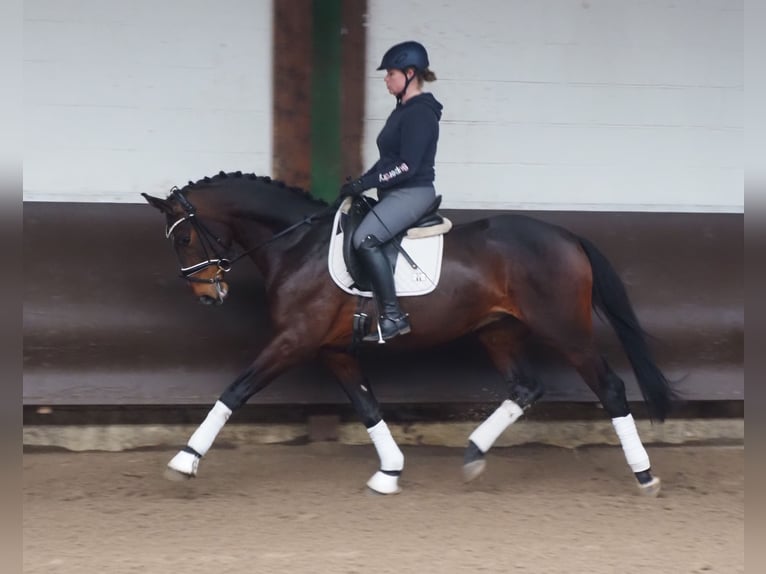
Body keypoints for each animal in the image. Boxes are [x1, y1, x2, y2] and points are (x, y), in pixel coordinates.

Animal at [141, 171, 676, 500]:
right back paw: (474, 453)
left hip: (565, 331)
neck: (298, 245)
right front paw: (389, 472)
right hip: (498, 331)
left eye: (184, 237)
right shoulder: (332, 350)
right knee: (526, 388)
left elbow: (236, 390)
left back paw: (645, 475)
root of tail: (567, 237)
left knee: (610, 388)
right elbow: (367, 406)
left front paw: (185, 461)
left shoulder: (295, 340)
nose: (208, 295)